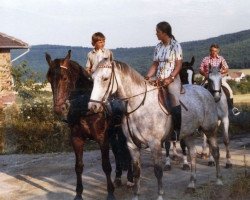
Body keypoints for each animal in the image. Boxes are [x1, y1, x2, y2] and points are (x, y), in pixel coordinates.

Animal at [45, 50, 133, 200]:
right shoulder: (77, 139)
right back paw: (118, 177)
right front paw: (78, 194)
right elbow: (78, 166)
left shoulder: (102, 138)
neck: (85, 107)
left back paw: (131, 178)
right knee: (117, 151)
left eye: (64, 78)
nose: (59, 109)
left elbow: (106, 166)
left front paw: (110, 193)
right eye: (49, 79)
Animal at [88, 59, 223, 200]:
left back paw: (219, 181)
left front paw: (160, 195)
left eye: (105, 78)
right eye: (92, 78)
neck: (138, 106)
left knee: (216, 151)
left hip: (210, 129)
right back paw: (191, 185)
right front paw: (135, 195)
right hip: (189, 134)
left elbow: (158, 171)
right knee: (192, 155)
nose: (93, 106)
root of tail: (205, 92)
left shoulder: (155, 144)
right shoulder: (132, 145)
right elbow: (136, 172)